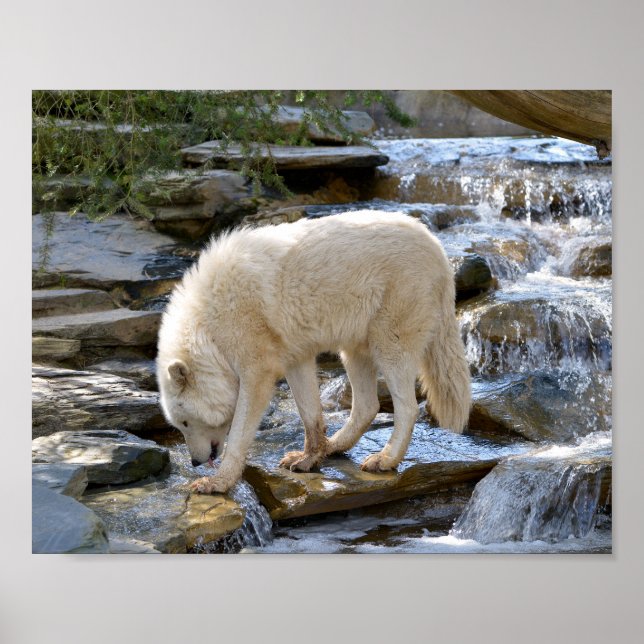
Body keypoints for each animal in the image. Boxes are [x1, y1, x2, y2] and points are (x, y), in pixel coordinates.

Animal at [157, 210, 471, 494]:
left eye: (185, 422)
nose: (195, 463)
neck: (209, 326)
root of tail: (438, 249)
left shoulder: (257, 372)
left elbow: (237, 437)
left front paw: (218, 482)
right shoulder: (296, 358)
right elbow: (310, 415)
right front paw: (309, 458)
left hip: (389, 345)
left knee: (407, 407)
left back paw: (385, 459)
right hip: (353, 348)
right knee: (368, 406)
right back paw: (335, 446)